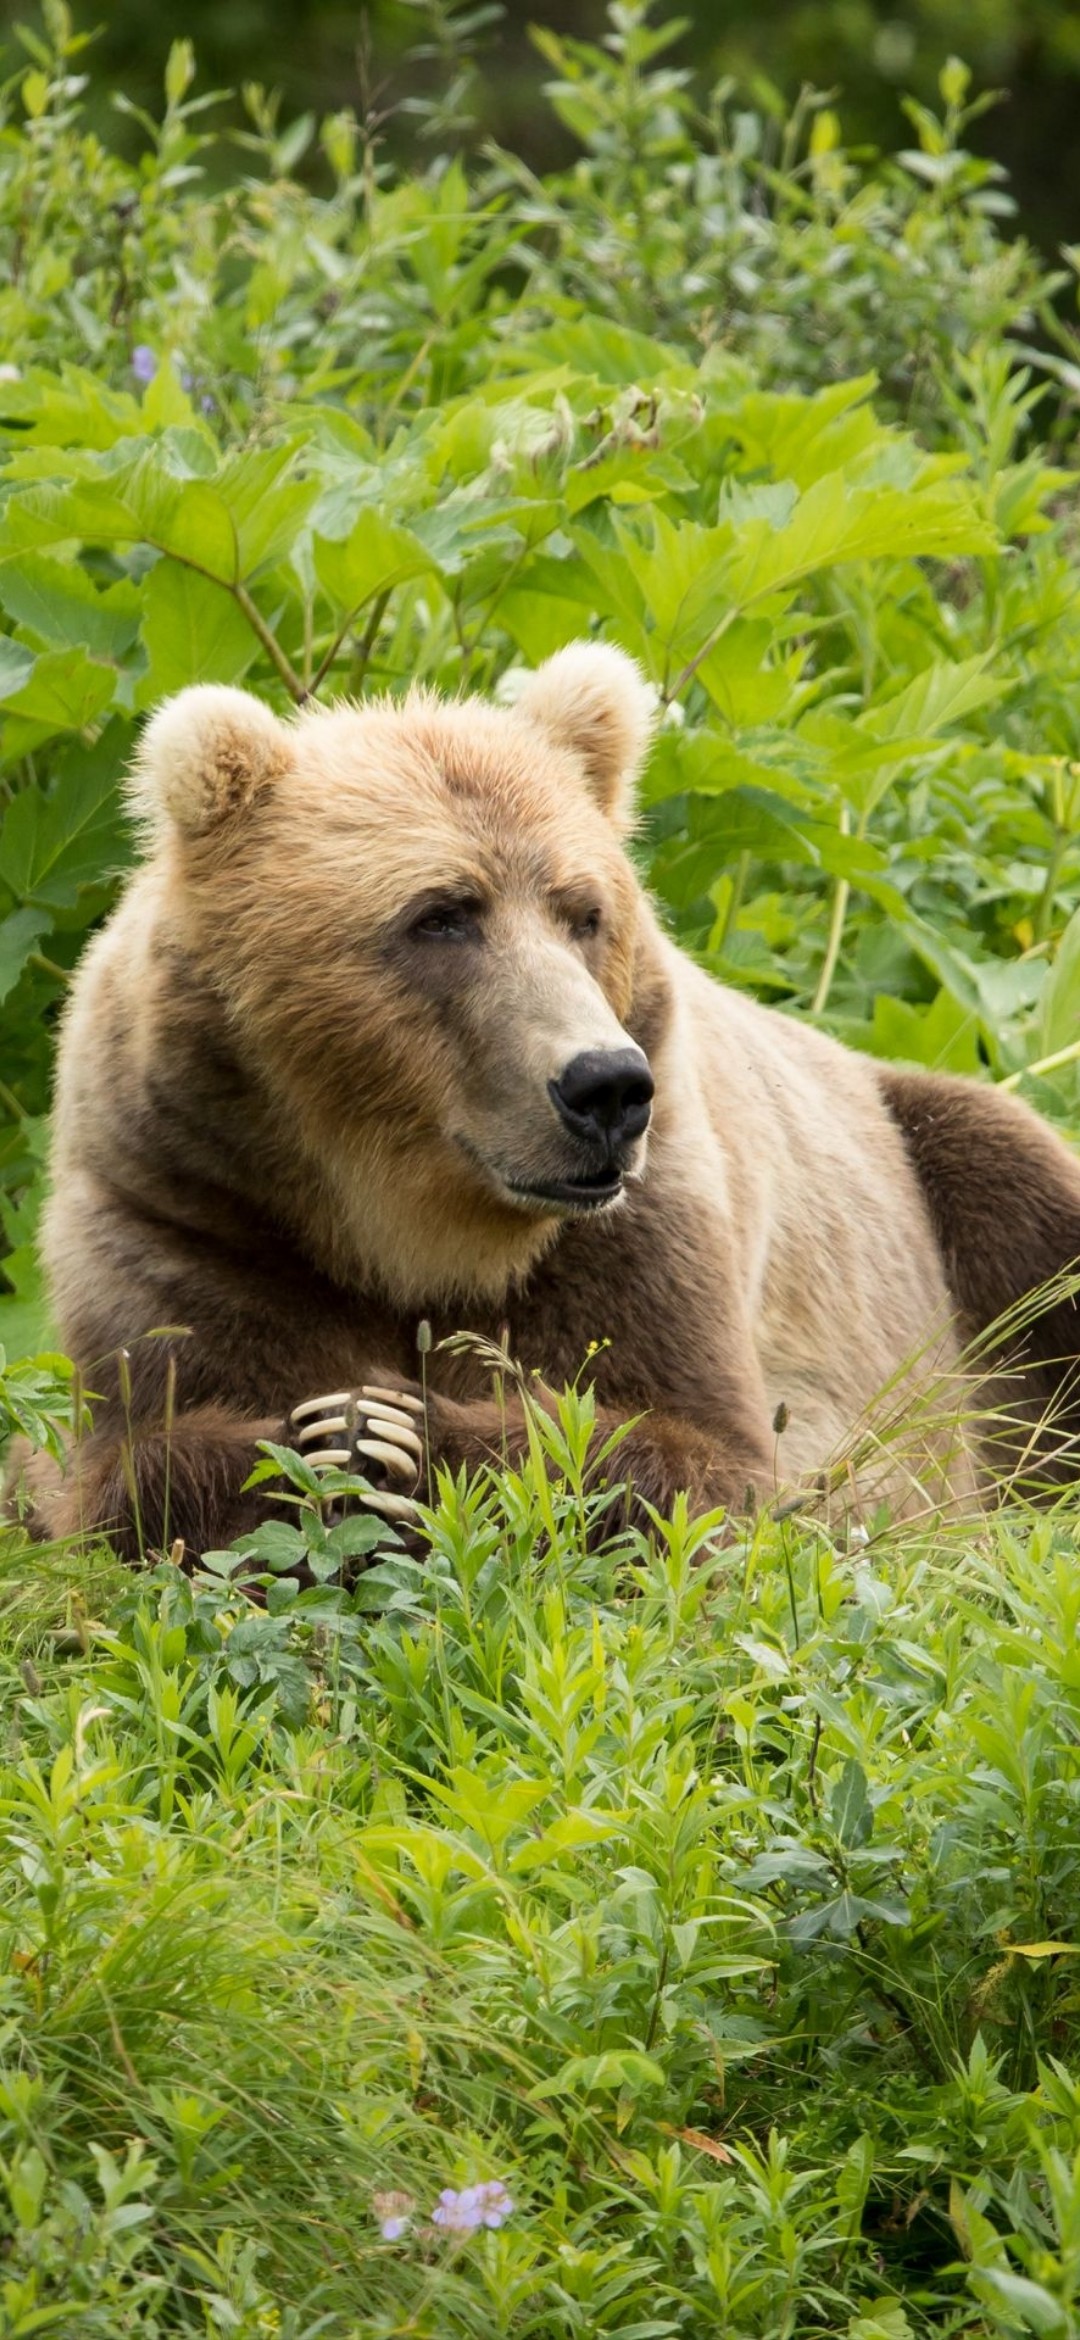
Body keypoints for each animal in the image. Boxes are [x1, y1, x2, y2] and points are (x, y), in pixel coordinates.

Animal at [16, 642, 1080, 1560]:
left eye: (584, 911)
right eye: (442, 916)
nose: (605, 1086)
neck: (406, 1229)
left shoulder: (644, 1226)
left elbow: (702, 1458)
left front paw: (401, 1431)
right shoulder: (192, 1214)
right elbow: (130, 1459)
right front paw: (324, 1429)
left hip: (934, 1160)